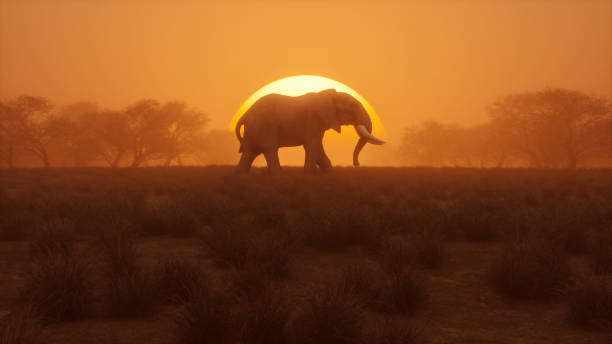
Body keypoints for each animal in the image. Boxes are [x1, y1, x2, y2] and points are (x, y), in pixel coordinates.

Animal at [235, 88, 384, 173]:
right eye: (352, 107)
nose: (356, 164)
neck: (328, 96)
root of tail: (245, 114)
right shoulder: (313, 120)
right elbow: (313, 145)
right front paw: (310, 175)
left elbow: (315, 146)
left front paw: (329, 173)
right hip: (264, 127)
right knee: (269, 149)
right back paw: (278, 175)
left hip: (253, 130)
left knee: (250, 152)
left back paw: (241, 174)